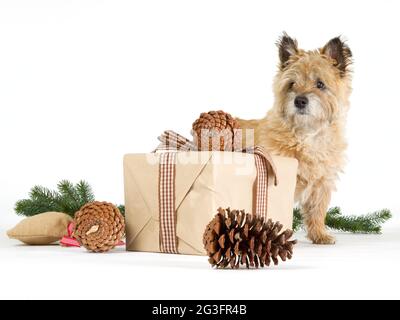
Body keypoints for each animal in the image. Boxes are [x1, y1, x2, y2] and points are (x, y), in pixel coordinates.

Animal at [239, 33, 352, 244]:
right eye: (291, 84)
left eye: (320, 84)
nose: (300, 100)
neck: (306, 136)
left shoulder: (321, 183)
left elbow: (317, 210)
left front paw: (319, 234)